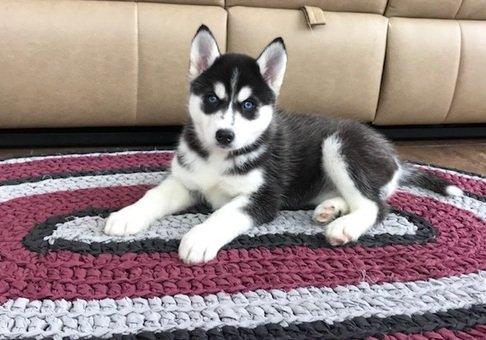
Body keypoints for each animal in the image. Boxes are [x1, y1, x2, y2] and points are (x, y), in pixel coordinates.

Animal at [103, 25, 464, 264]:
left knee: (376, 206)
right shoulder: (185, 181)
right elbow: (154, 195)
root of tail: (394, 158)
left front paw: (200, 236)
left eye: (249, 105)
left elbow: (225, 214)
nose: (225, 135)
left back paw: (344, 225)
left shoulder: (263, 197)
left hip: (339, 144)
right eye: (211, 99)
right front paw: (127, 215)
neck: (219, 157)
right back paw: (331, 208)